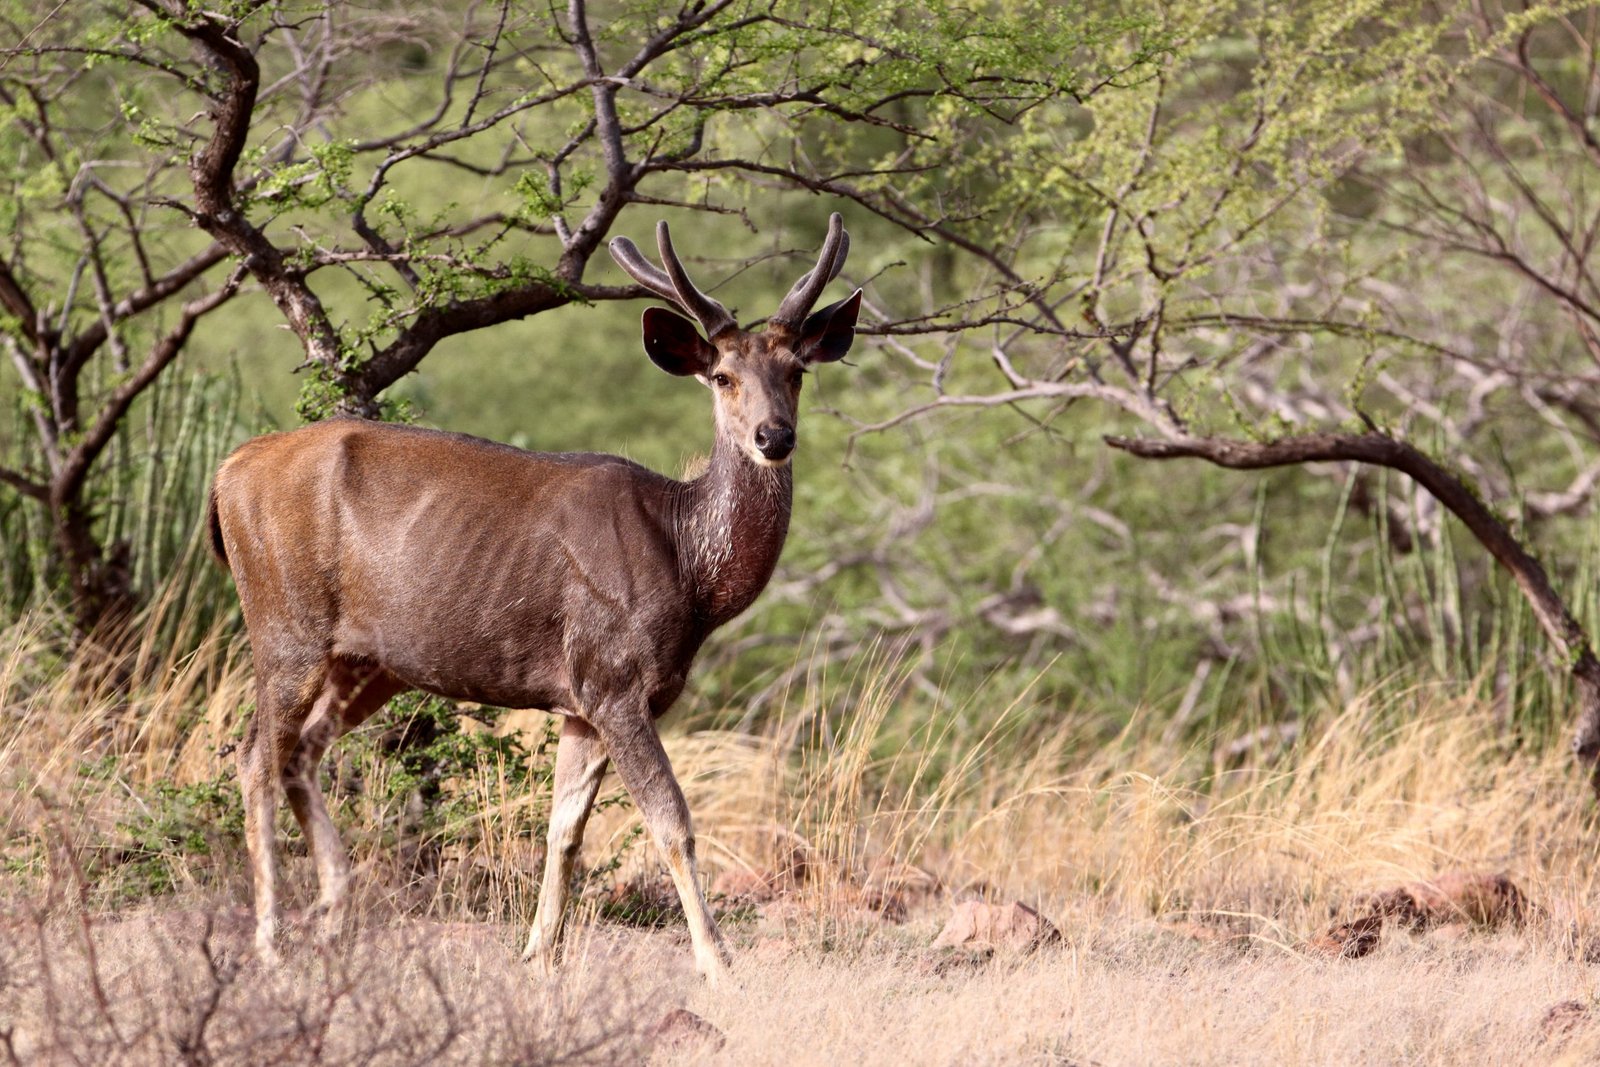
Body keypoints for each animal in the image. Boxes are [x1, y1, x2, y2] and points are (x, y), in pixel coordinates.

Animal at [205, 214, 860, 984]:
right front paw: (719, 963)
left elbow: (564, 829)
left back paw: (336, 921)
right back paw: (271, 941)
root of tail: (227, 473)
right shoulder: (613, 677)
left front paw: (537, 952)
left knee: (300, 754)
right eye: (723, 376)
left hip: (367, 662)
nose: (773, 436)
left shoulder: (580, 703)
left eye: (796, 371)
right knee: (254, 756)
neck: (691, 572)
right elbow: (672, 821)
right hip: (285, 625)